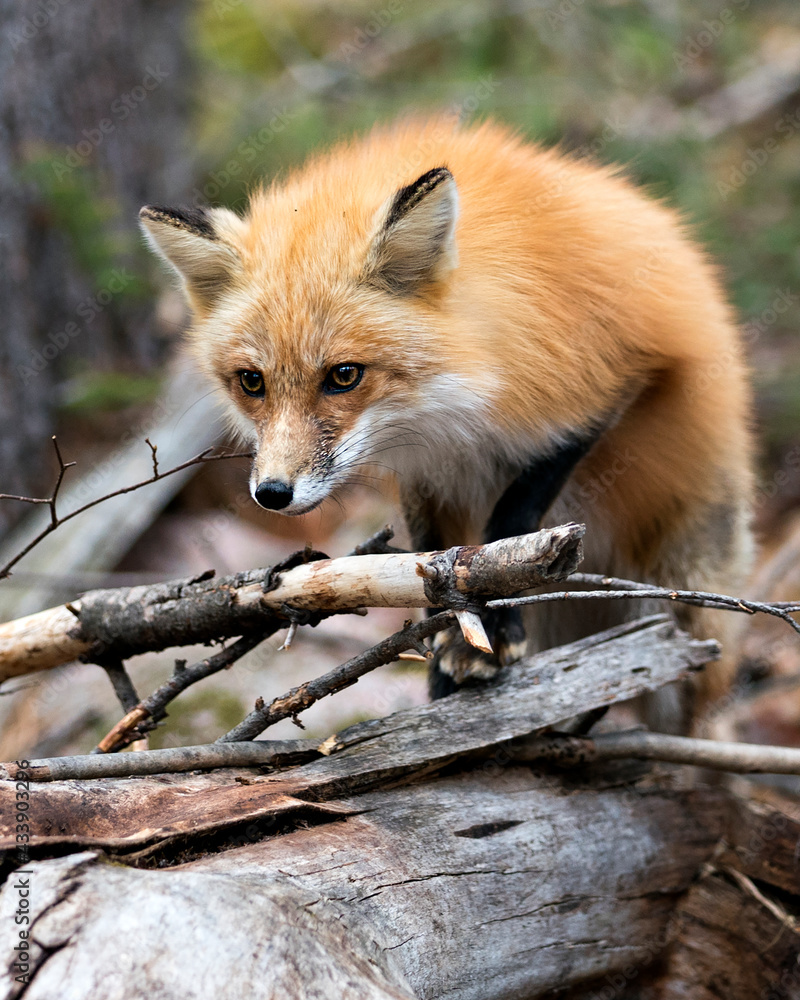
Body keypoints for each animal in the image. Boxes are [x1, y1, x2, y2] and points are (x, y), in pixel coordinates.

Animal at [140, 117, 754, 732]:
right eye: (252, 382)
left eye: (343, 375)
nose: (271, 494)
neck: (457, 402)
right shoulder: (425, 468)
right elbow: (432, 558)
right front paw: (448, 649)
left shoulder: (611, 377)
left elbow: (513, 520)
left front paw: (493, 628)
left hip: (682, 617)